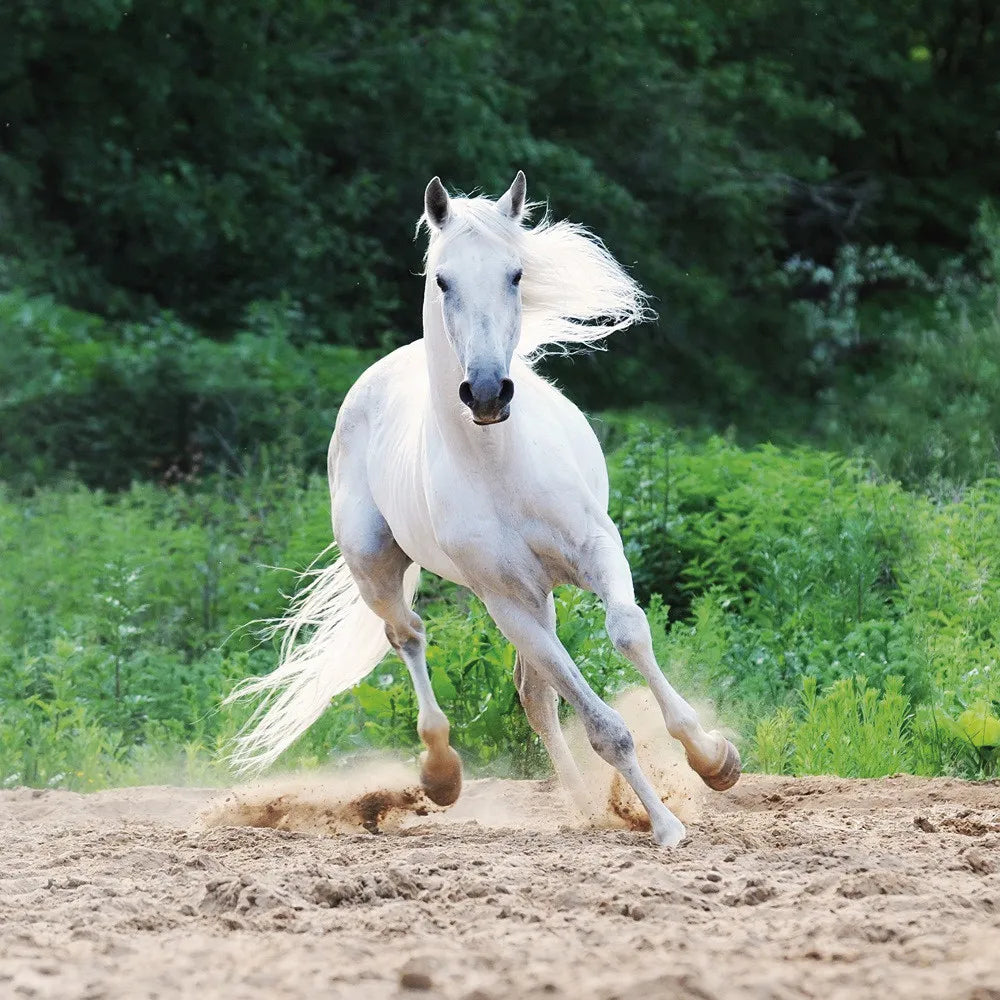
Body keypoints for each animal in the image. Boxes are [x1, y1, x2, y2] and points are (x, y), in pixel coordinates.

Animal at [227, 172, 740, 846]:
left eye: (516, 274)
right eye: (442, 280)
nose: (489, 392)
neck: (498, 466)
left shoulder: (597, 551)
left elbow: (628, 631)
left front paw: (714, 761)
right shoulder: (507, 601)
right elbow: (603, 727)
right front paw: (665, 824)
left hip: (541, 594)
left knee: (534, 694)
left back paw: (584, 805)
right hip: (379, 567)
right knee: (410, 636)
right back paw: (443, 774)